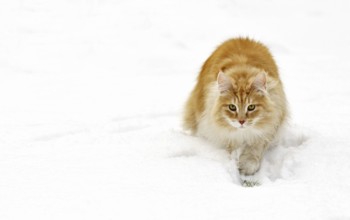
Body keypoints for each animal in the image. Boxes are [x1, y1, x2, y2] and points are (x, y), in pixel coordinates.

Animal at [183, 37, 288, 175]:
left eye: (251, 107)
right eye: (232, 107)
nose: (241, 121)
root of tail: (240, 38)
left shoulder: (267, 131)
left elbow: (254, 151)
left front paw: (247, 166)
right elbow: (231, 147)